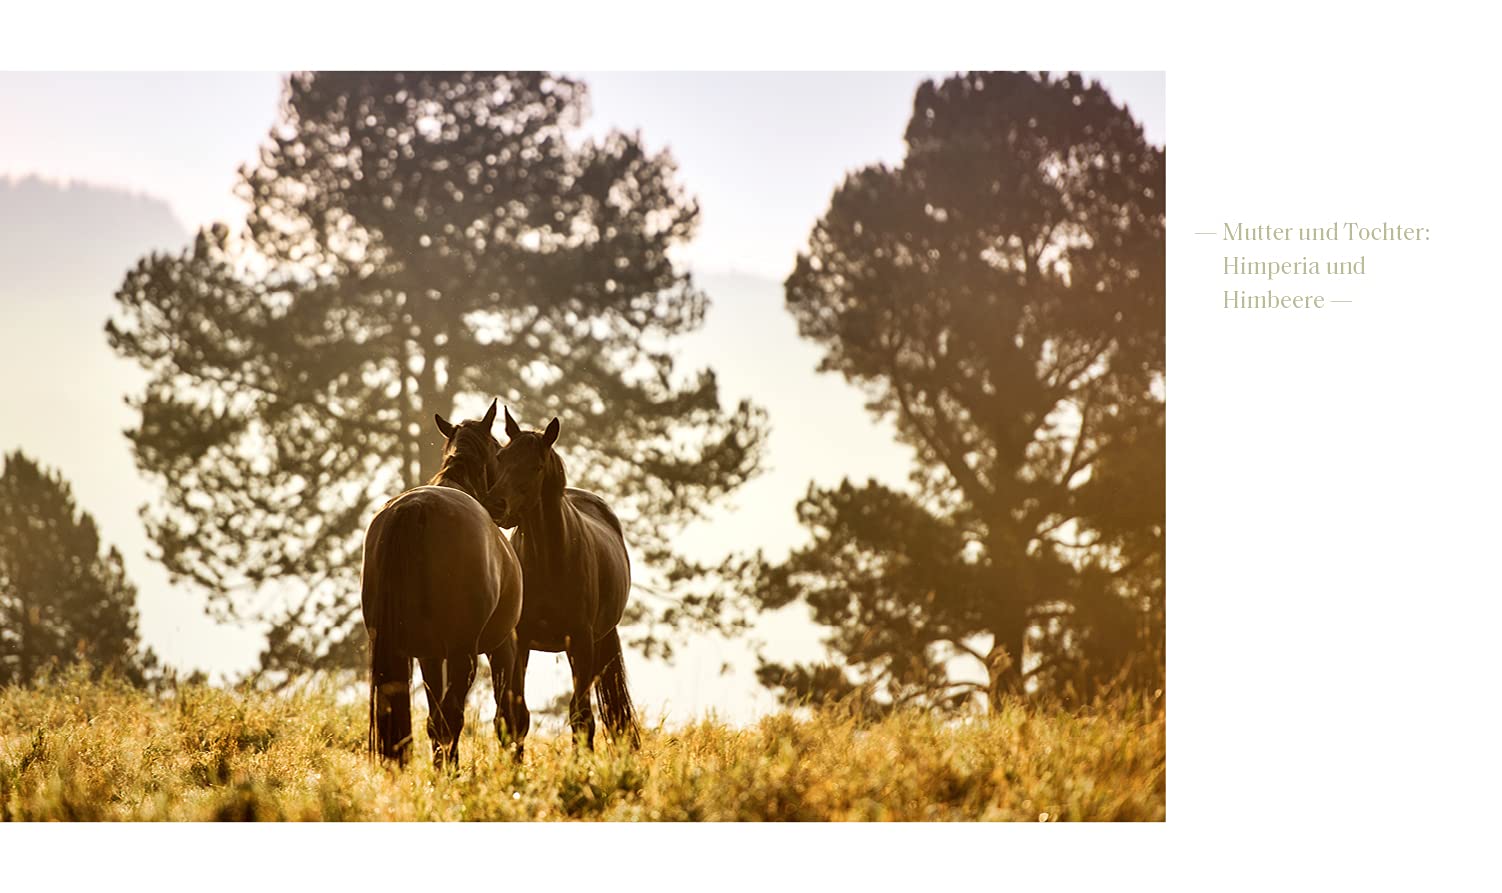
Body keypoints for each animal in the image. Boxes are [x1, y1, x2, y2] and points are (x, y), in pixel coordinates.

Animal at [485, 407, 639, 753]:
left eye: (537, 466)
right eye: (500, 457)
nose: (496, 504)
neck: (549, 561)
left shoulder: (580, 643)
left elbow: (581, 717)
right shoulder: (520, 641)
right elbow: (516, 717)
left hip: (597, 642)